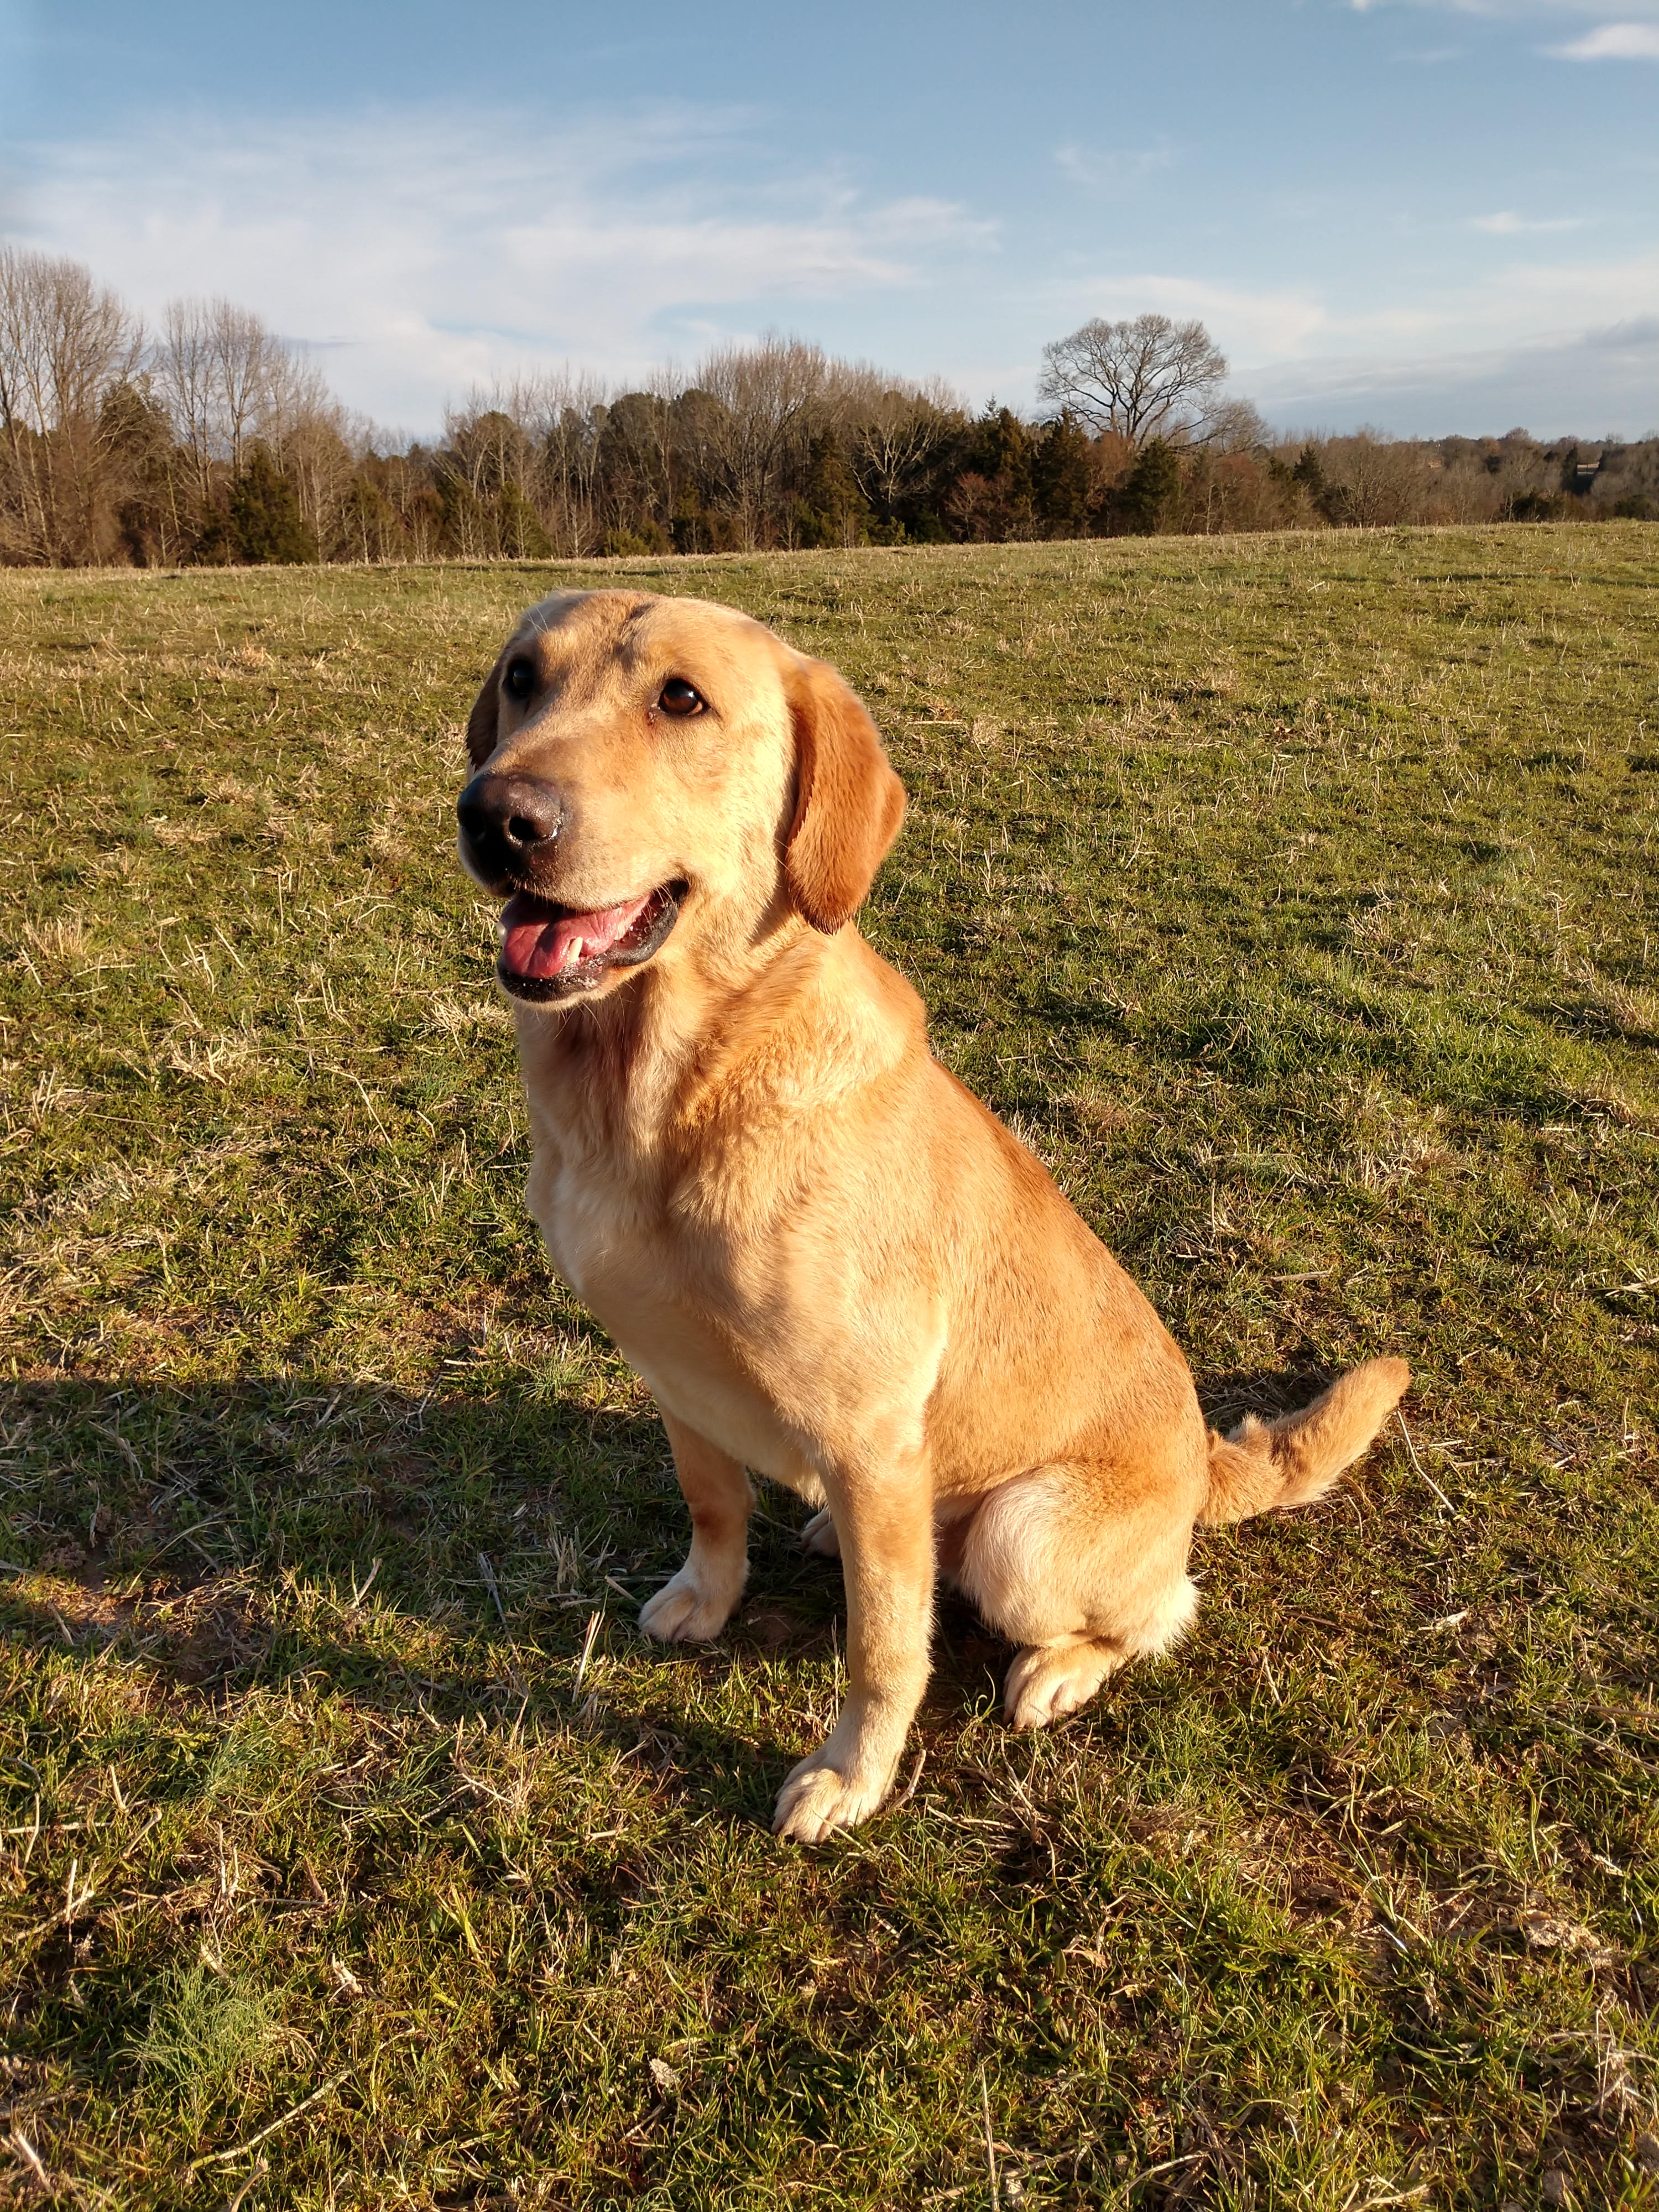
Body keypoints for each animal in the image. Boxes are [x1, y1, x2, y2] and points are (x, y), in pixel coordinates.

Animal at [458, 593, 1416, 1849]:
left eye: (682, 699)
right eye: (523, 677)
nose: (495, 816)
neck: (662, 1096)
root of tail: (1206, 1461)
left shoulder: (870, 1433)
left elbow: (883, 1650)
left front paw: (851, 1775)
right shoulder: (673, 1377)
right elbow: (715, 1507)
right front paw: (705, 1599)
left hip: (1024, 1531)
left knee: (1157, 1610)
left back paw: (1059, 1668)